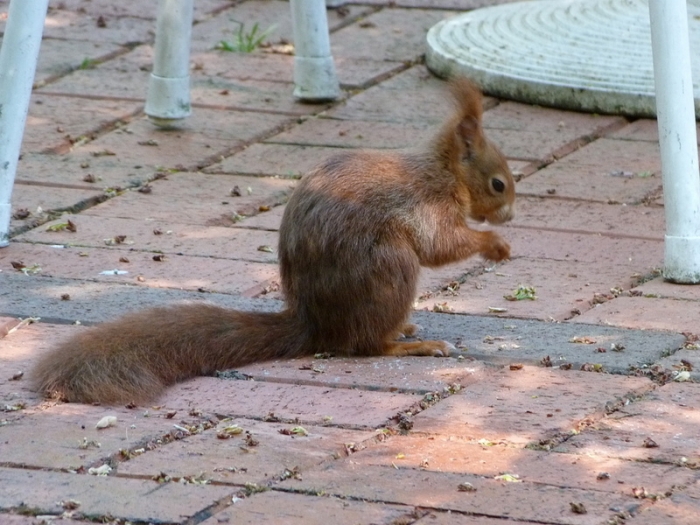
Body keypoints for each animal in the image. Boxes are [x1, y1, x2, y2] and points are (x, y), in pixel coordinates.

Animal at [31, 78, 515, 405]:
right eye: (498, 184)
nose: (511, 215)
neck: (444, 172)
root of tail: (314, 326)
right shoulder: (427, 204)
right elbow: (440, 245)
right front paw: (494, 244)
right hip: (389, 268)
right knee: (366, 345)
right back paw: (412, 344)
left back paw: (407, 327)